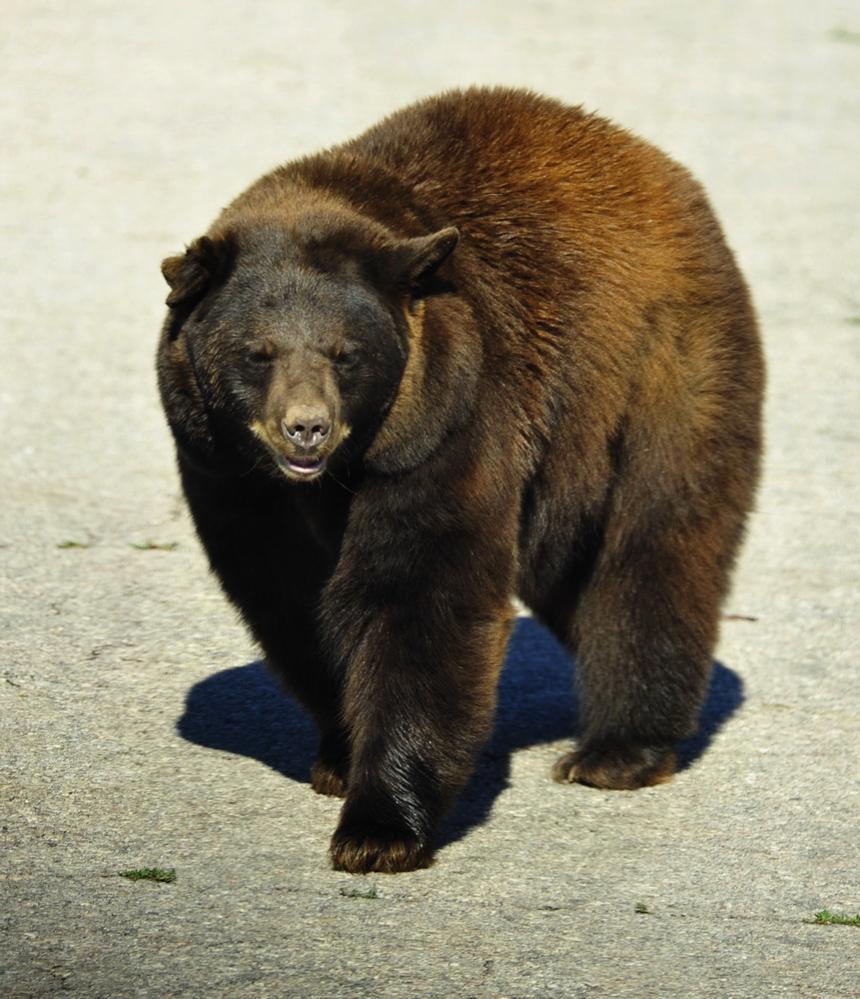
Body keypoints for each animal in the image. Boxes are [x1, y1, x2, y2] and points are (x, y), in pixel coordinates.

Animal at [157, 86, 764, 874]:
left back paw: (619, 749)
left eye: (345, 353)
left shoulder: (445, 424)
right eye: (258, 352)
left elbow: (424, 593)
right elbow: (288, 596)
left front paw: (379, 826)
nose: (306, 427)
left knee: (651, 549)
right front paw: (339, 754)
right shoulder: (230, 475)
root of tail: (657, 166)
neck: (332, 480)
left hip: (660, 376)